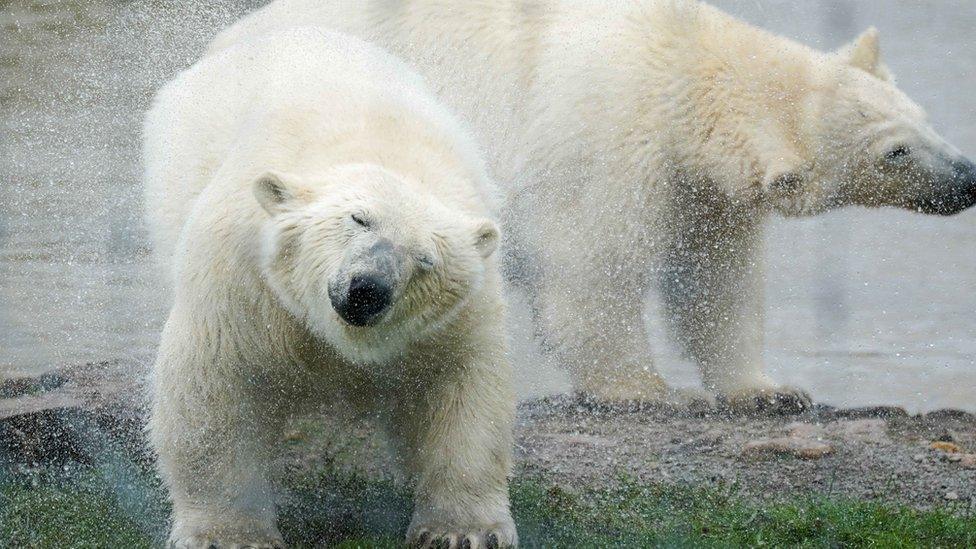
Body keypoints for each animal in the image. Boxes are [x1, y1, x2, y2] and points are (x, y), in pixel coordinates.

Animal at [144, 27, 520, 544]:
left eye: (425, 258)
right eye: (359, 219)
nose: (368, 289)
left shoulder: (455, 318)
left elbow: (466, 391)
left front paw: (463, 531)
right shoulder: (246, 278)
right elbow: (215, 381)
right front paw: (231, 534)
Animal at [212, 1, 976, 412]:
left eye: (923, 119)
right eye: (894, 153)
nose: (967, 178)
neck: (684, 68)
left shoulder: (703, 193)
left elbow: (716, 282)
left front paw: (768, 390)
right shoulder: (609, 139)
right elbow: (593, 269)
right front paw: (648, 391)